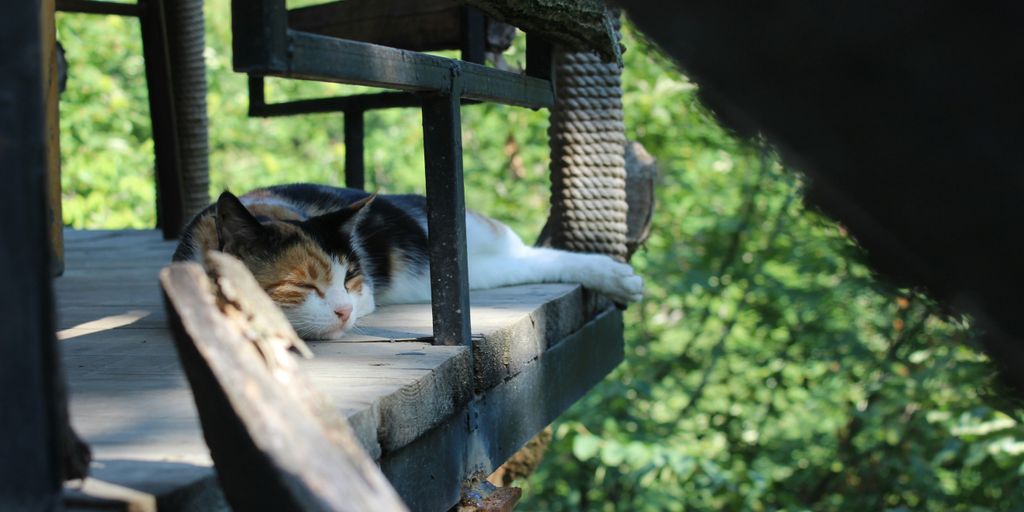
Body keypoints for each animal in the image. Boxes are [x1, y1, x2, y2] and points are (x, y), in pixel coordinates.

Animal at [173, 184, 643, 339]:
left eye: (351, 279)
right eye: (305, 285)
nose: (344, 311)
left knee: (530, 254)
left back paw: (618, 276)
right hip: (482, 271)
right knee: (529, 261)